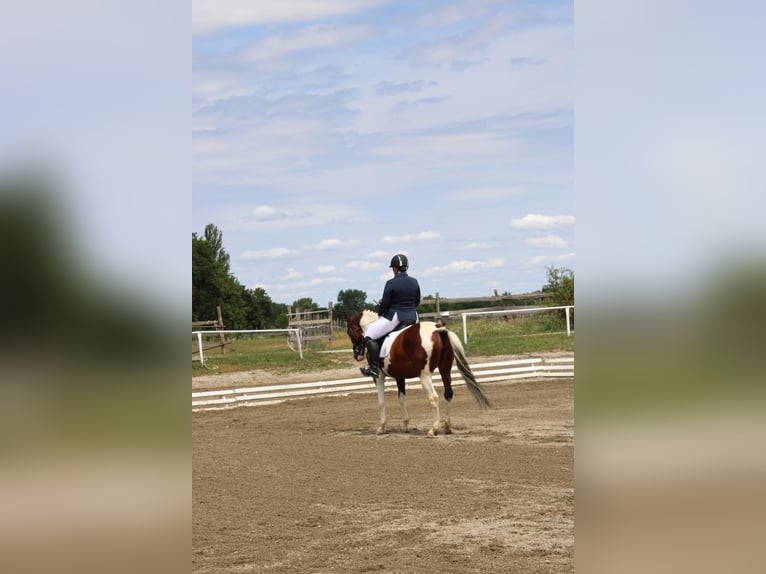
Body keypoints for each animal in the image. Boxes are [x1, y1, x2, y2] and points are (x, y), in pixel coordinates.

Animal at [346, 310, 492, 436]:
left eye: (350, 332)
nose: (357, 356)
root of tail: (438, 329)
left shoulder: (379, 377)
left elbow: (381, 401)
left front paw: (381, 428)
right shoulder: (400, 376)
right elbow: (402, 399)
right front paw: (405, 425)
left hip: (425, 375)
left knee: (434, 397)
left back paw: (433, 429)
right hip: (445, 370)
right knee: (448, 394)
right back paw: (447, 427)